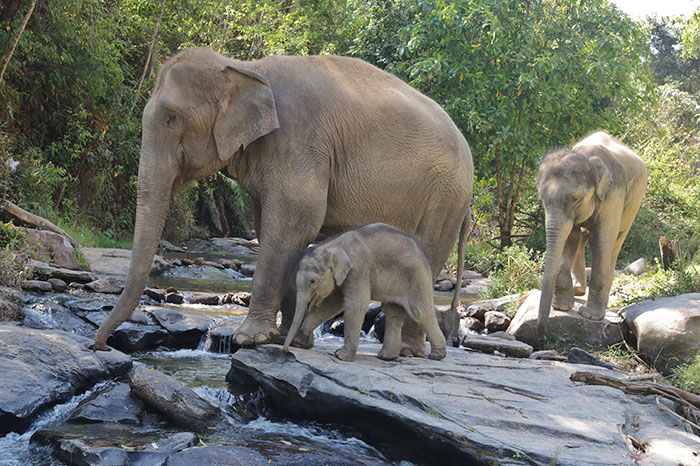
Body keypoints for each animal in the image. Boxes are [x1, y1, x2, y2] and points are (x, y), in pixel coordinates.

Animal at [283, 223, 447, 362]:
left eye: (312, 282)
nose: (286, 350)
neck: (334, 244)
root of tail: (424, 252)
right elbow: (332, 305)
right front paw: (299, 341)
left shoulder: (358, 268)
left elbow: (355, 304)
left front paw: (341, 356)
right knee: (393, 312)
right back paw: (386, 357)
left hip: (418, 276)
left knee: (420, 312)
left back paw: (437, 355)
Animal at [537, 131, 647, 337]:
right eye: (542, 198)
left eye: (575, 199)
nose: (540, 334)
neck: (586, 157)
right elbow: (569, 237)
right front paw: (562, 307)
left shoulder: (614, 194)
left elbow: (601, 241)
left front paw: (591, 316)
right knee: (580, 237)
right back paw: (579, 290)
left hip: (634, 204)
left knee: (615, 243)